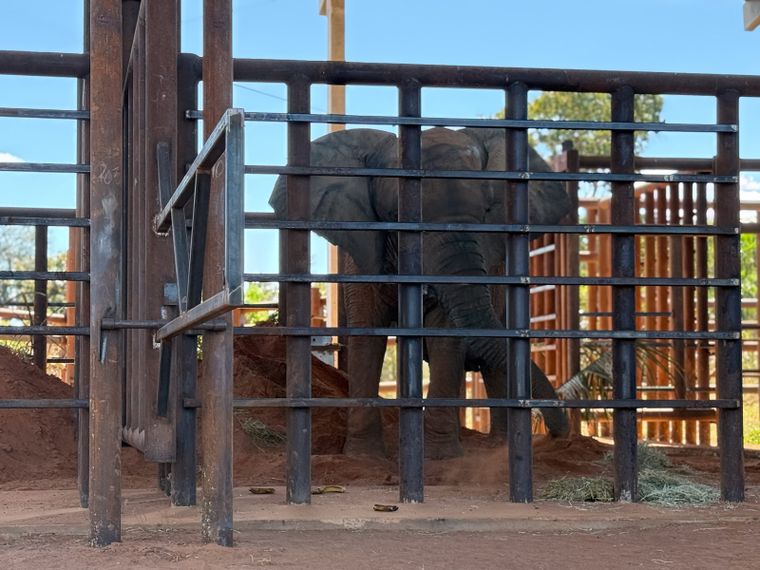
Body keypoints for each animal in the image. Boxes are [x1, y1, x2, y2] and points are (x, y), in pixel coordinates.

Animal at [269, 126, 571, 459]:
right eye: (396, 215)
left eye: (486, 213)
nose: (559, 434)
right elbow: (367, 334)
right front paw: (364, 456)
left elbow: (444, 335)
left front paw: (440, 455)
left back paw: (498, 447)